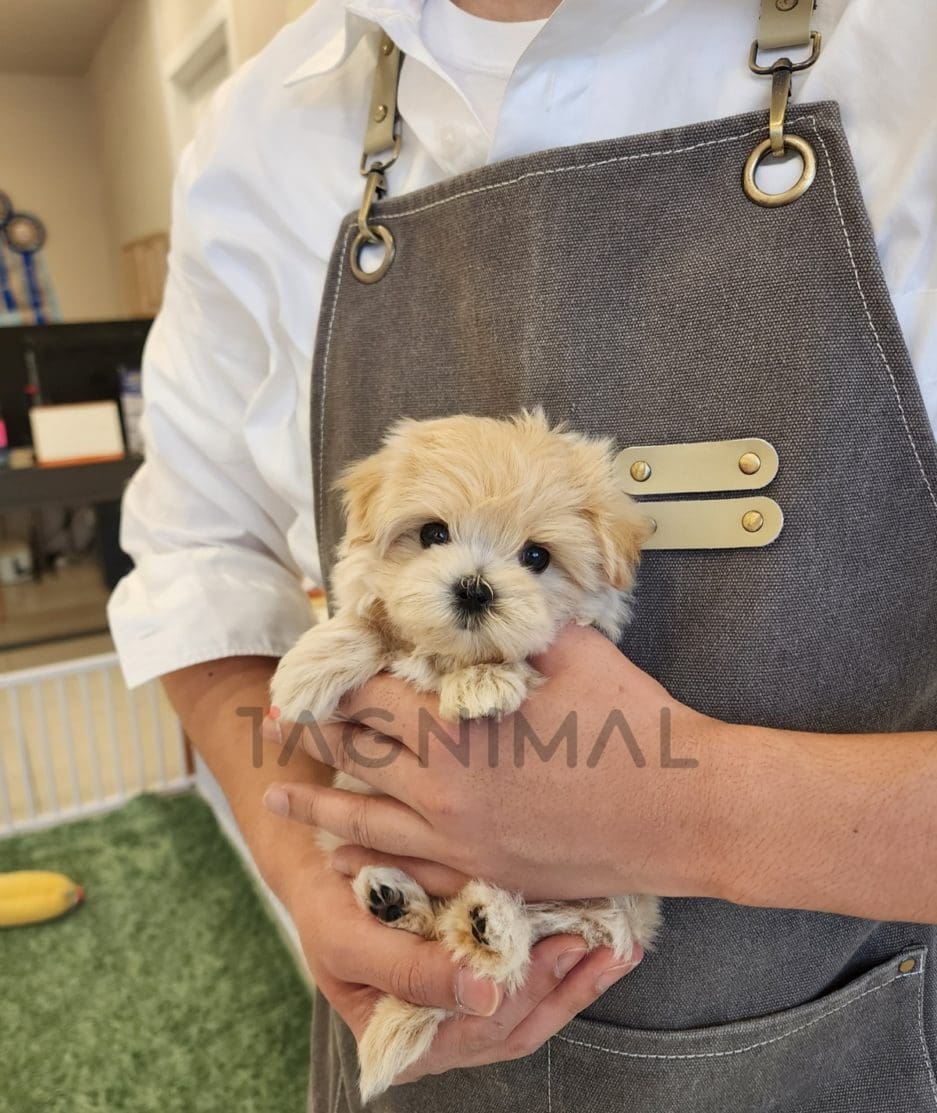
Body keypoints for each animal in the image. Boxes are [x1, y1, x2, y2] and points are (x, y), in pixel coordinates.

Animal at [270, 411, 658, 1104]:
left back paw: (489, 926)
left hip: (614, 902)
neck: (447, 654)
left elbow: (517, 659)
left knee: (541, 932)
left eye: (537, 557)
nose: (475, 588)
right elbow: (374, 620)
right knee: (435, 924)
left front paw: (485, 683)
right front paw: (311, 664)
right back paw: (394, 901)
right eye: (432, 534)